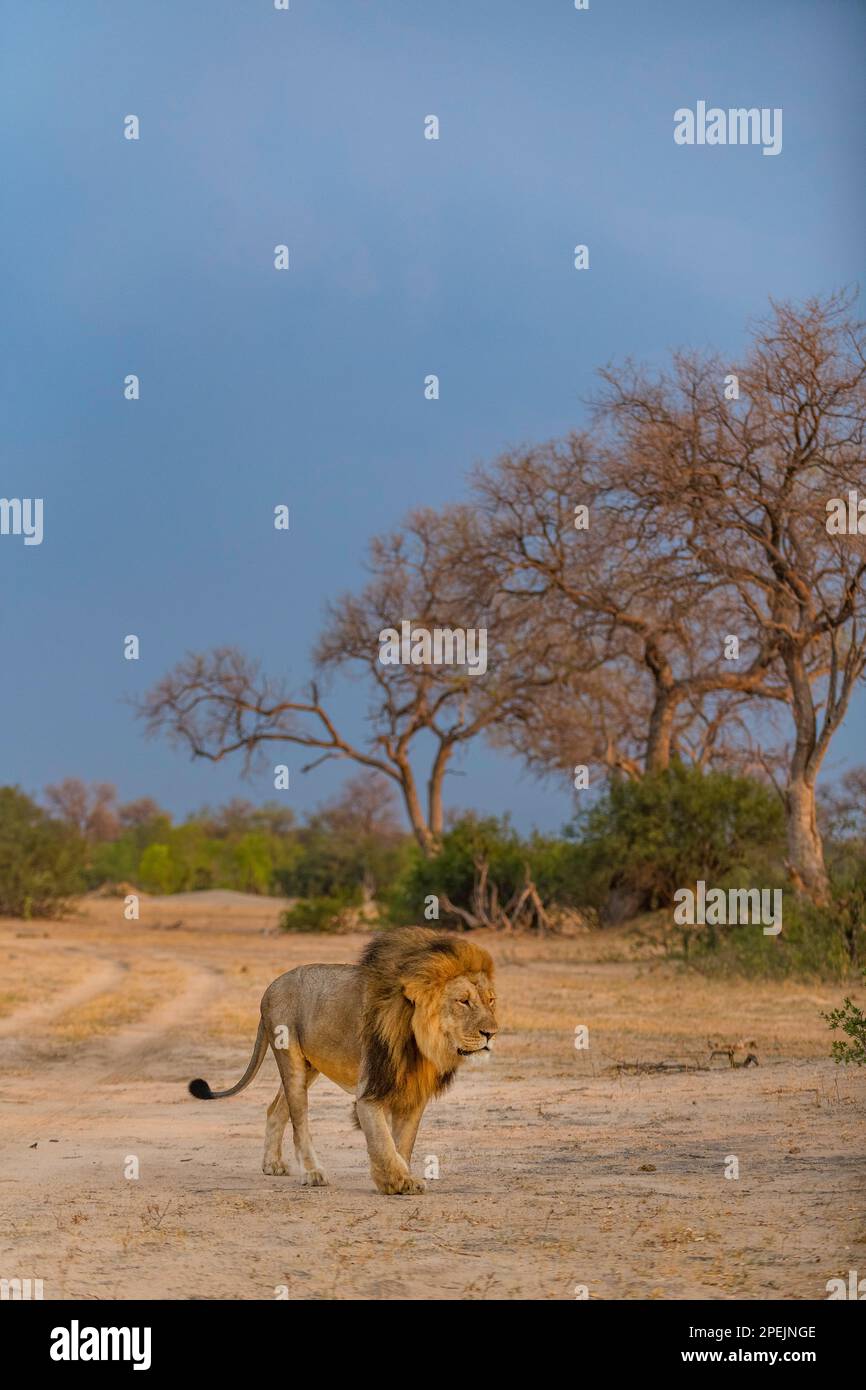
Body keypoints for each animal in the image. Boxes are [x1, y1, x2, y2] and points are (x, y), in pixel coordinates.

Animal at [189, 922, 500, 1195]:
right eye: (463, 1001)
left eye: (491, 1000)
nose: (491, 1033)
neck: (421, 1041)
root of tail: (270, 987)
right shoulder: (370, 1090)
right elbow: (383, 1140)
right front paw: (396, 1181)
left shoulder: (413, 1094)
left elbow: (403, 1142)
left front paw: (402, 1177)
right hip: (291, 1059)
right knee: (299, 1121)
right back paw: (313, 1173)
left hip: (311, 1067)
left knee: (275, 1109)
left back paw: (272, 1164)